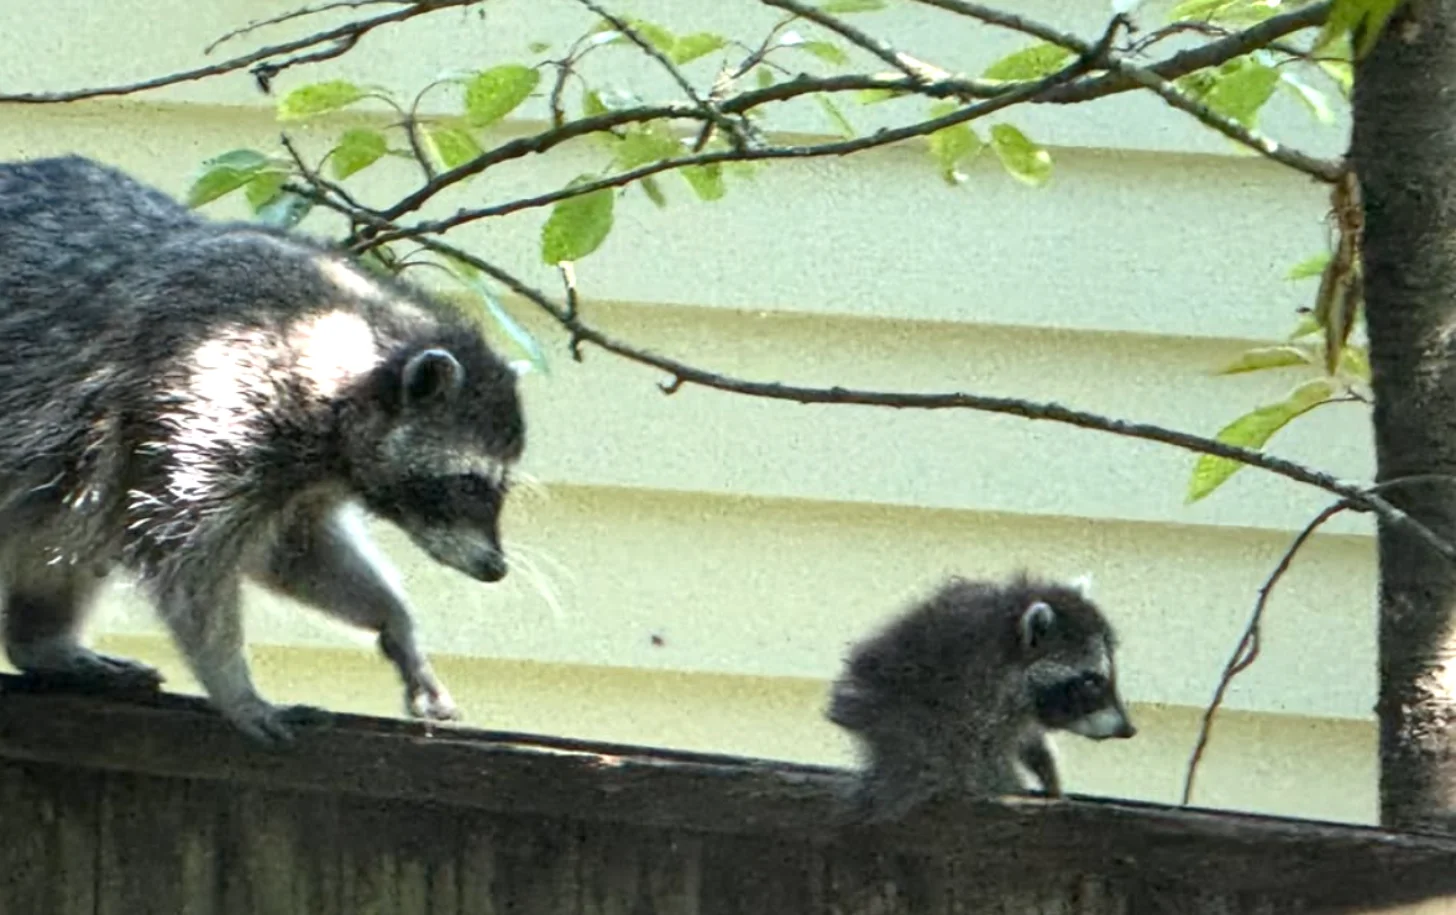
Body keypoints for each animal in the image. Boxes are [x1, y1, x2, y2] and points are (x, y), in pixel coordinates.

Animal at [0, 155, 526, 744]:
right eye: (469, 483)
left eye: (499, 485)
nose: (495, 568)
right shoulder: (202, 402)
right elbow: (188, 563)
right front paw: (234, 688)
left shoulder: (295, 474)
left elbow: (297, 553)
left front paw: (397, 622)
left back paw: (41, 641)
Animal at [826, 572, 1136, 822]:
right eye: (1091, 681)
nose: (1129, 730)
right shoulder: (978, 703)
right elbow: (987, 758)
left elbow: (1028, 743)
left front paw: (1049, 775)